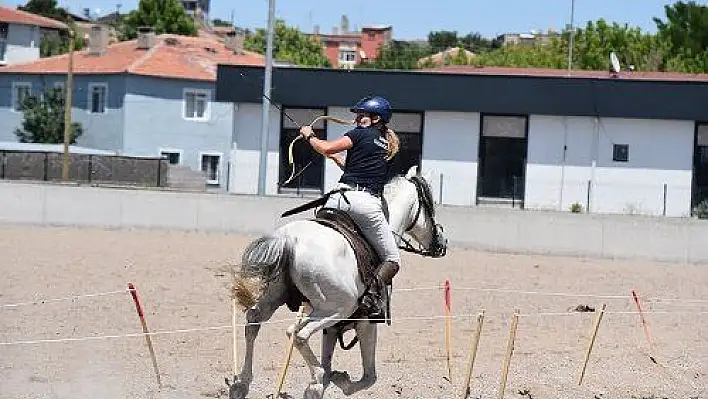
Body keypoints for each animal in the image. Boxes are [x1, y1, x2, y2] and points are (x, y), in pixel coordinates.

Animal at [227, 166, 448, 399]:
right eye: (430, 204)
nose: (441, 242)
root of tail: (289, 239)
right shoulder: (366, 322)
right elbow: (369, 377)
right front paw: (339, 380)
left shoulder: (332, 329)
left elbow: (331, 363)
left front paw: (326, 381)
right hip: (338, 308)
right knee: (298, 334)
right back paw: (314, 377)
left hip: (280, 298)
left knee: (254, 321)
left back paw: (241, 383)